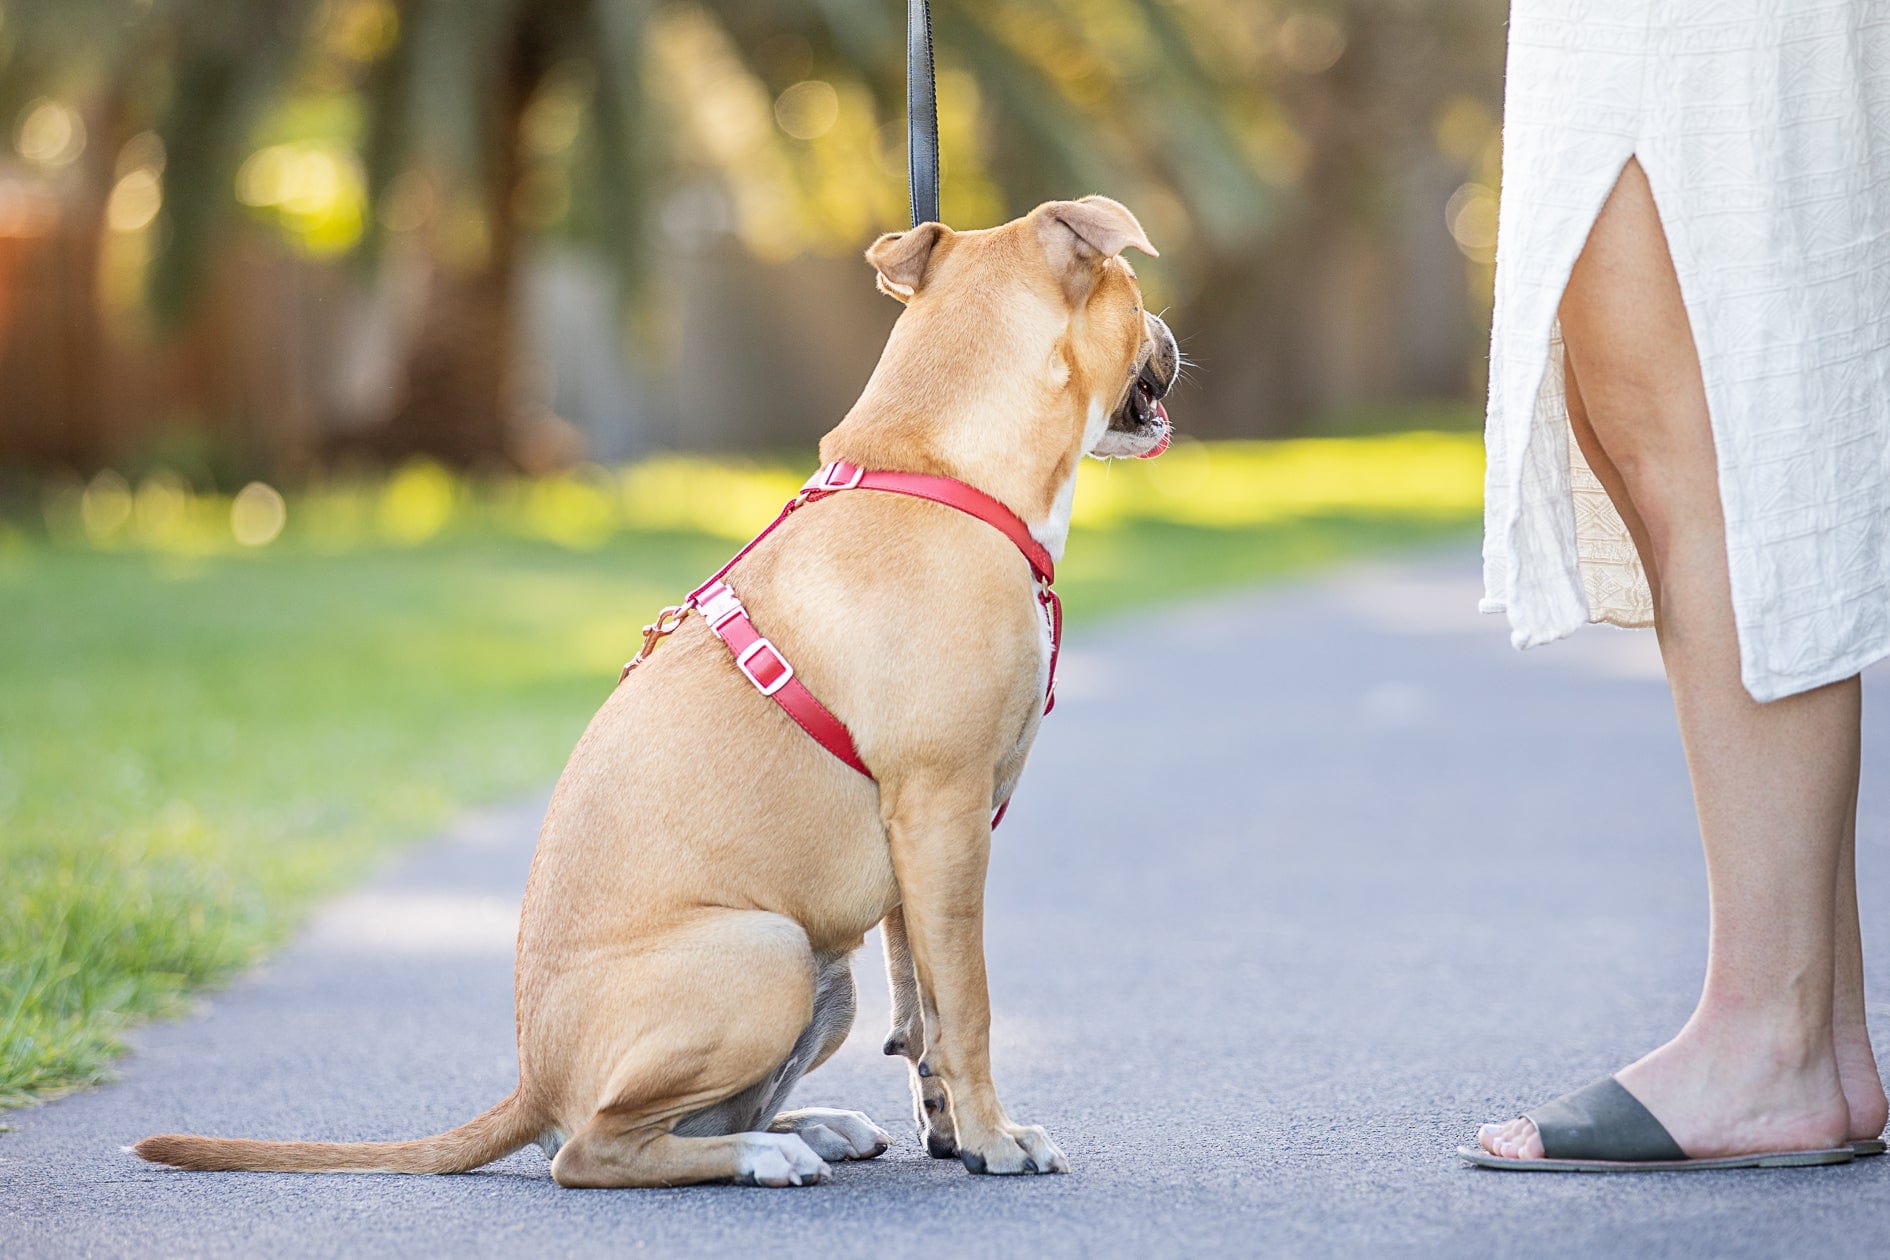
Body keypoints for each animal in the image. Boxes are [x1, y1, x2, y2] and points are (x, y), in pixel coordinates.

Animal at [139, 197, 1179, 1193]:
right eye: (1131, 287)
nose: (1168, 331)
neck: (938, 471)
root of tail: (534, 1083)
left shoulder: (918, 845)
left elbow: (920, 1004)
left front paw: (954, 1129)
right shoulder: (943, 812)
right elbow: (966, 1004)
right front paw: (997, 1140)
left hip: (821, 975)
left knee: (697, 1118)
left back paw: (808, 1128)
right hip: (767, 954)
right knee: (596, 1150)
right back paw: (767, 1156)